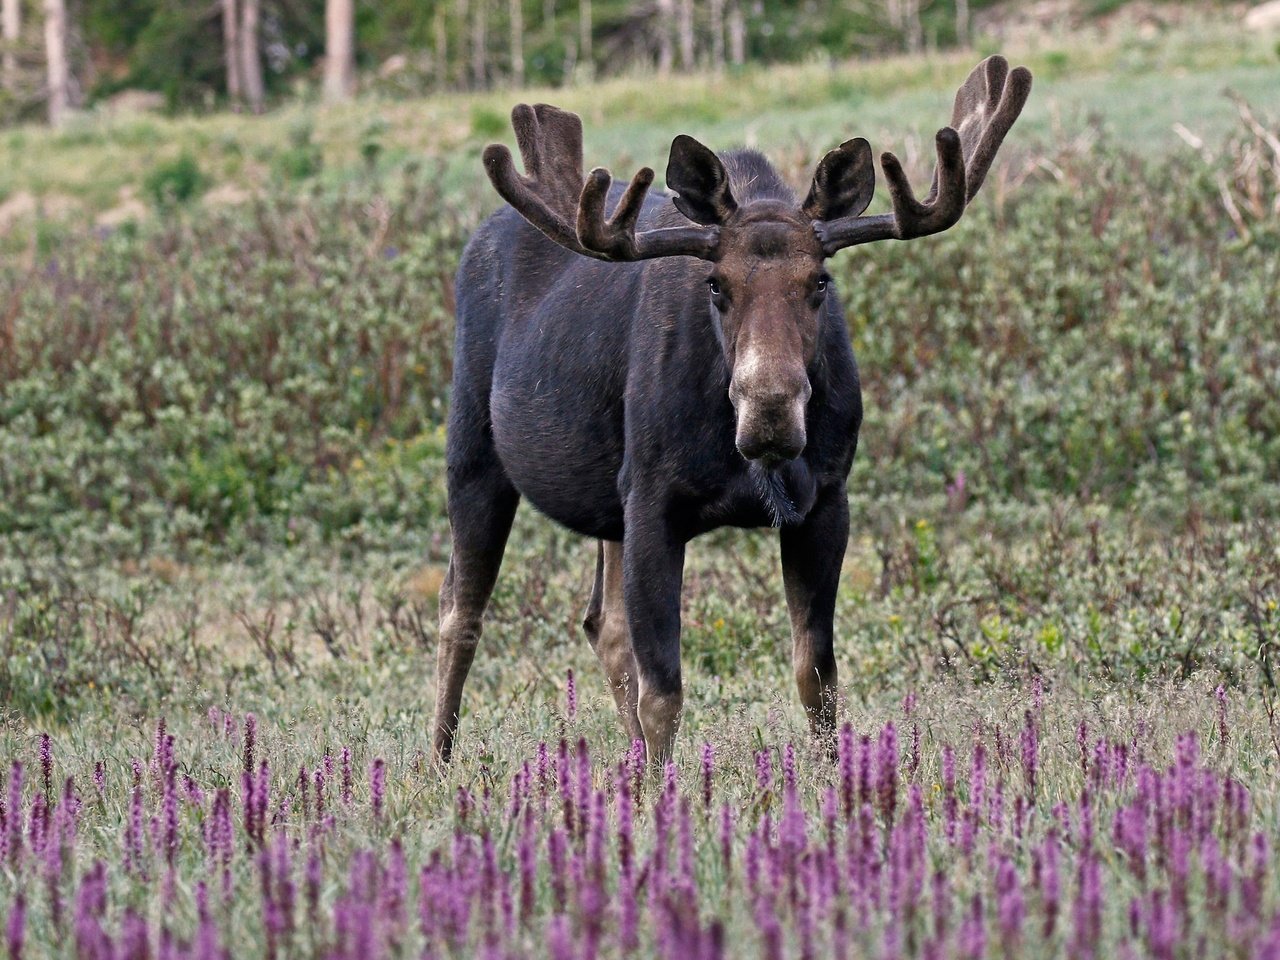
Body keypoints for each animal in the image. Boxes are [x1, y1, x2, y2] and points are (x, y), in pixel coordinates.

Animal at [435, 58, 1034, 768]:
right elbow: (664, 692)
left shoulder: (826, 499)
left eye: (820, 282)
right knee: (460, 614)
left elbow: (816, 675)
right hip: (474, 453)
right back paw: (440, 763)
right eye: (716, 285)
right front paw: (660, 792)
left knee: (601, 623)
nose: (769, 408)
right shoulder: (653, 500)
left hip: (606, 501)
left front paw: (832, 778)